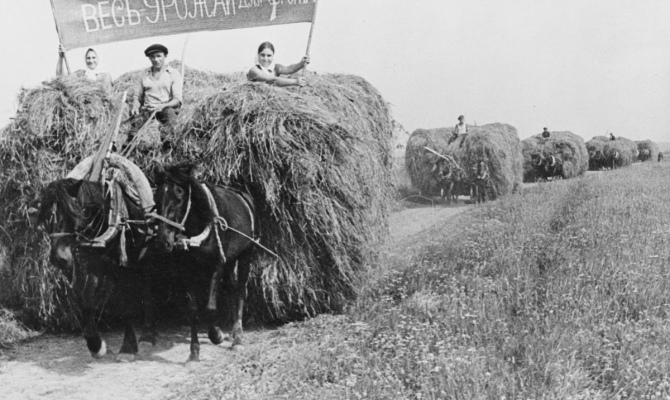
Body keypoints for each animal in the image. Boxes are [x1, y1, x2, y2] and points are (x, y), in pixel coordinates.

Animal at [153, 164, 258, 360]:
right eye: (157, 197)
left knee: (240, 290)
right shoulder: (186, 269)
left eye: (179, 194)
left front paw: (216, 334)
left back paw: (238, 338)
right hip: (230, 259)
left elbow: (210, 307)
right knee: (231, 287)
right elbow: (192, 308)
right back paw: (233, 331)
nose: (164, 241)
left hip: (246, 254)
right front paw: (194, 351)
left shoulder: (217, 264)